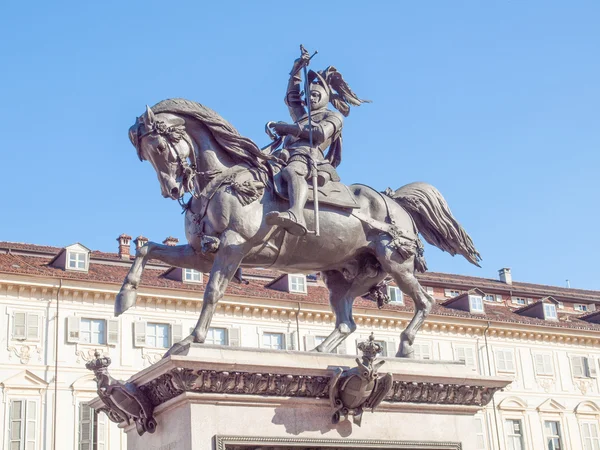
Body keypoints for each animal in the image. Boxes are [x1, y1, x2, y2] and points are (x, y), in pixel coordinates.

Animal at [116, 99, 482, 358]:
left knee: (424, 301)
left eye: (159, 147)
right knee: (347, 321)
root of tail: (394, 200)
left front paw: (191, 339)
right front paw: (125, 297)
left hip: (396, 263)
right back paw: (320, 351)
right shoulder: (202, 253)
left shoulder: (233, 246)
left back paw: (405, 345)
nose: (173, 190)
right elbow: (147, 249)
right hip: (347, 276)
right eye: (146, 156)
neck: (226, 177)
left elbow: (213, 292)